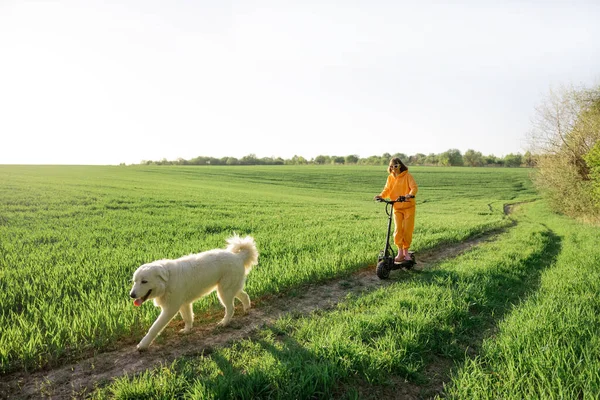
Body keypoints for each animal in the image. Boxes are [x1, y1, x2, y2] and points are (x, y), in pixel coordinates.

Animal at [129, 234, 258, 350]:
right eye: (135, 281)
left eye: (144, 281)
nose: (131, 295)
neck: (167, 281)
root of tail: (238, 256)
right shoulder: (184, 304)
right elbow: (188, 318)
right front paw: (187, 330)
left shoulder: (170, 309)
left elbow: (154, 328)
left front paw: (142, 345)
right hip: (230, 289)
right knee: (244, 295)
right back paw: (247, 309)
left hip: (224, 292)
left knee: (230, 308)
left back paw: (224, 323)